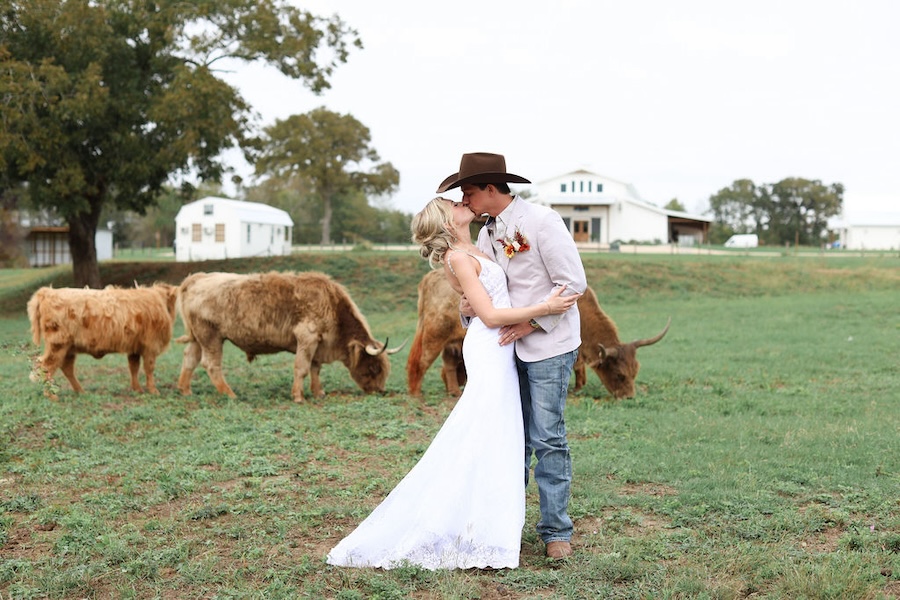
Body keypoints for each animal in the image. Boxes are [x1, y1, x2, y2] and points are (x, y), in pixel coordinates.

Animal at [26, 282, 179, 398]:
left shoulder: (134, 346)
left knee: (66, 368)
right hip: (58, 345)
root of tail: (48, 291)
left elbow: (133, 367)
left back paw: (80, 391)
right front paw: (153, 390)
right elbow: (149, 368)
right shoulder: (150, 346)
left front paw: (137, 389)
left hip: (68, 348)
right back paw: (51, 396)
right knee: (46, 367)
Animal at [176, 272, 400, 404]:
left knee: (190, 358)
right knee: (211, 364)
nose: (380, 391)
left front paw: (318, 392)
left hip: (198, 339)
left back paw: (185, 390)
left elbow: (315, 369)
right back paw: (230, 394)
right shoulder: (307, 338)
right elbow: (302, 368)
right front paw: (298, 396)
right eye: (374, 368)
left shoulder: (317, 345)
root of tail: (196, 278)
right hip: (210, 337)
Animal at [408, 270, 668, 398]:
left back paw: (453, 391)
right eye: (620, 375)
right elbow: (576, 365)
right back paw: (416, 393)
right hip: (434, 334)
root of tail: (429, 278)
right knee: (420, 362)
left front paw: (579, 386)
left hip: (451, 342)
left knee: (448, 366)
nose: (629, 396)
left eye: (635, 372)